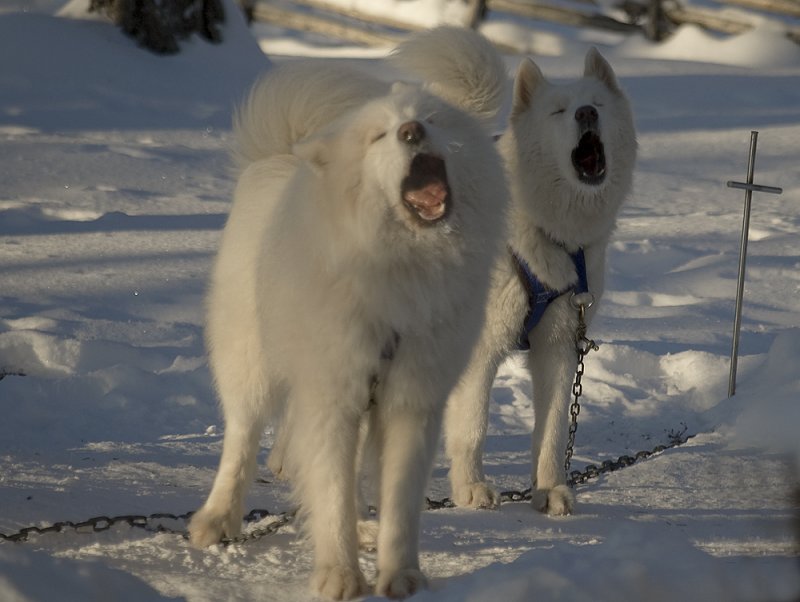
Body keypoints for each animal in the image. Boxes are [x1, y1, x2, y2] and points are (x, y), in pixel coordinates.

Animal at [188, 29, 506, 600]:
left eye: (432, 119)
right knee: (241, 439)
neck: (396, 273)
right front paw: (338, 577)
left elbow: (398, 500)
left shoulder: (410, 401)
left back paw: (363, 530)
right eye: (380, 137)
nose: (411, 131)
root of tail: (277, 156)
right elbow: (331, 490)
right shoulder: (333, 396)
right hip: (252, 366)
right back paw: (217, 520)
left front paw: (401, 576)